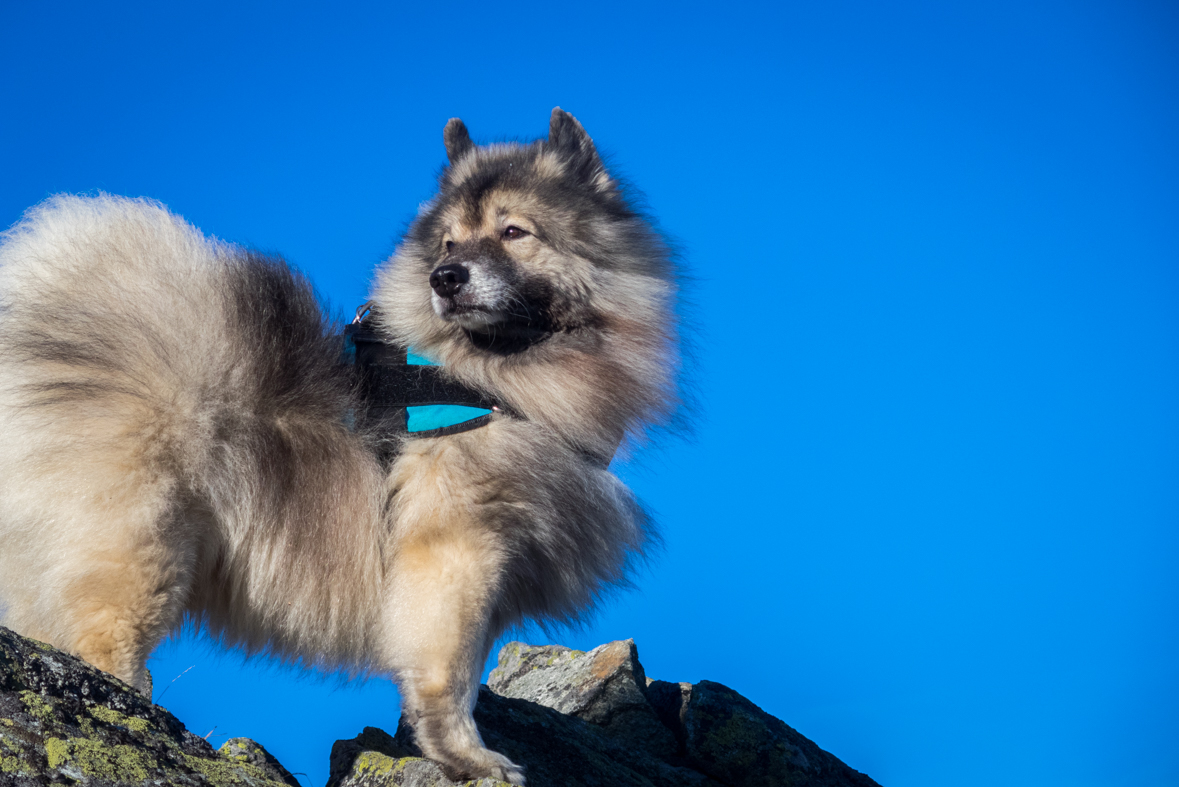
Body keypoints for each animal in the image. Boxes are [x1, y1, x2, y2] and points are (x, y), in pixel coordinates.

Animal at [0, 108, 683, 782]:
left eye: (514, 232)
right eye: (449, 242)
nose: (444, 277)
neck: (485, 375)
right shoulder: (458, 551)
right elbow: (450, 673)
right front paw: (469, 757)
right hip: (139, 546)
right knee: (104, 641)